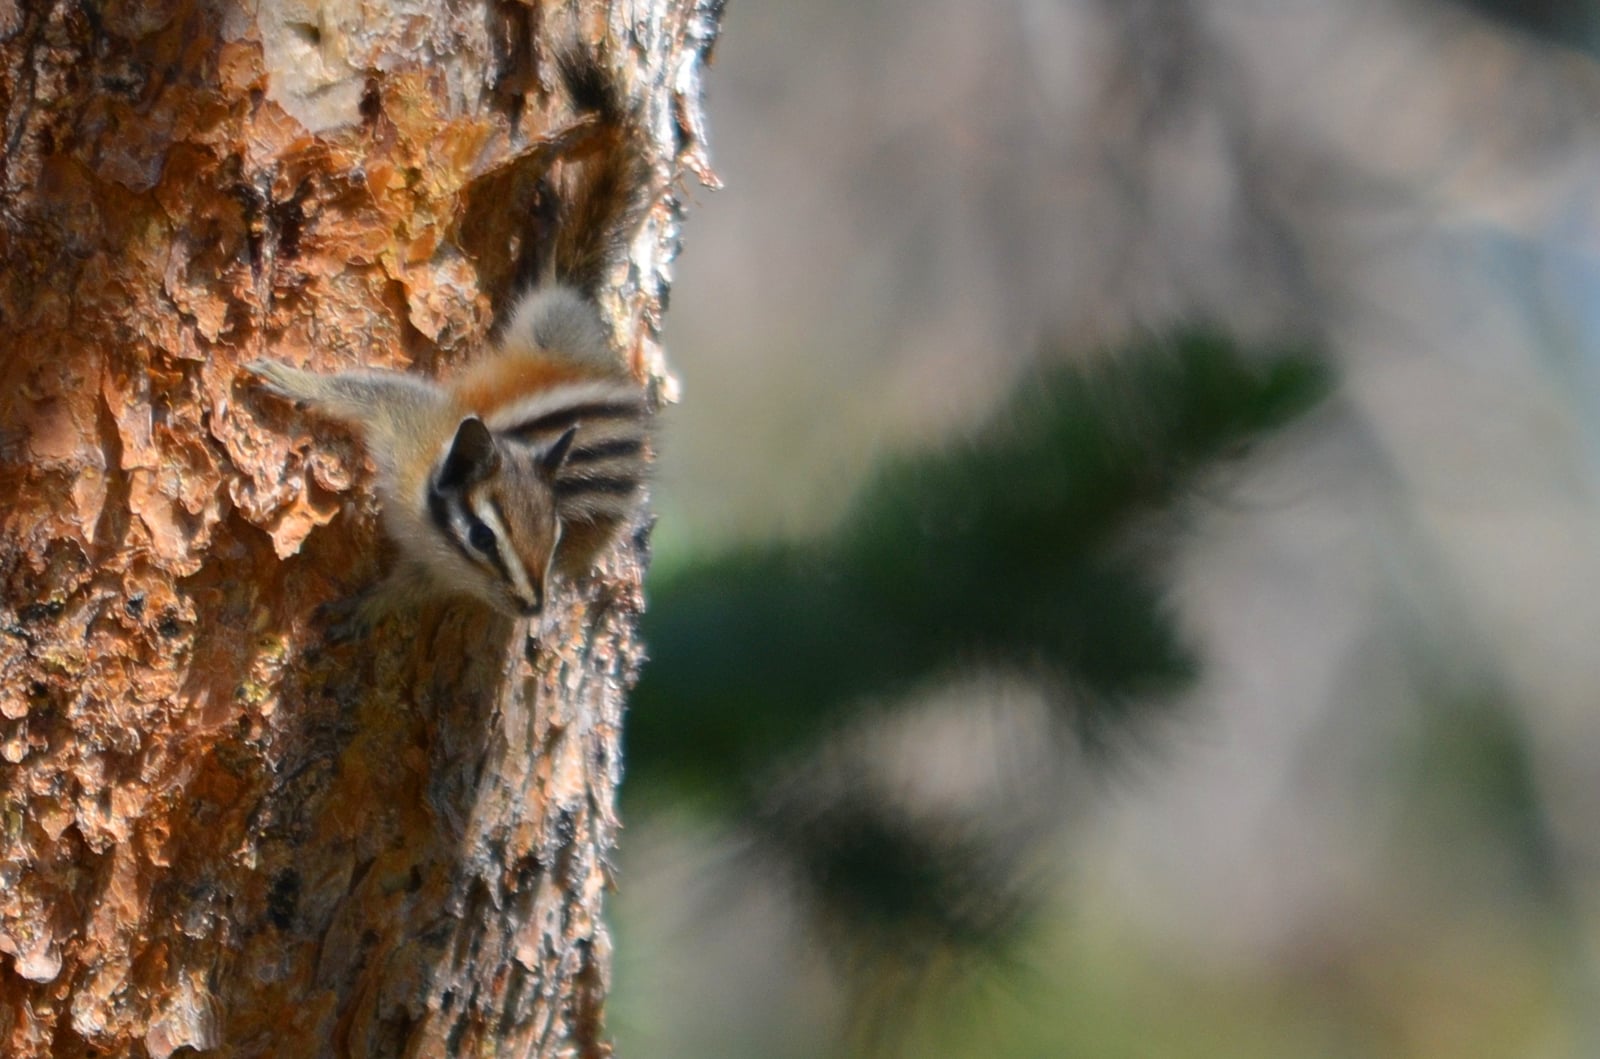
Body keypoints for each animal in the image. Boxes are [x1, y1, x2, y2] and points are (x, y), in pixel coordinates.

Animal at [247, 50, 654, 623]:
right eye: (484, 538)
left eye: (554, 539)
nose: (533, 608)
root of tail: (605, 364)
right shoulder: (404, 420)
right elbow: (362, 389)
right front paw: (296, 381)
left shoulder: (432, 562)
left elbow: (404, 590)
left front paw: (361, 610)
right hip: (548, 325)